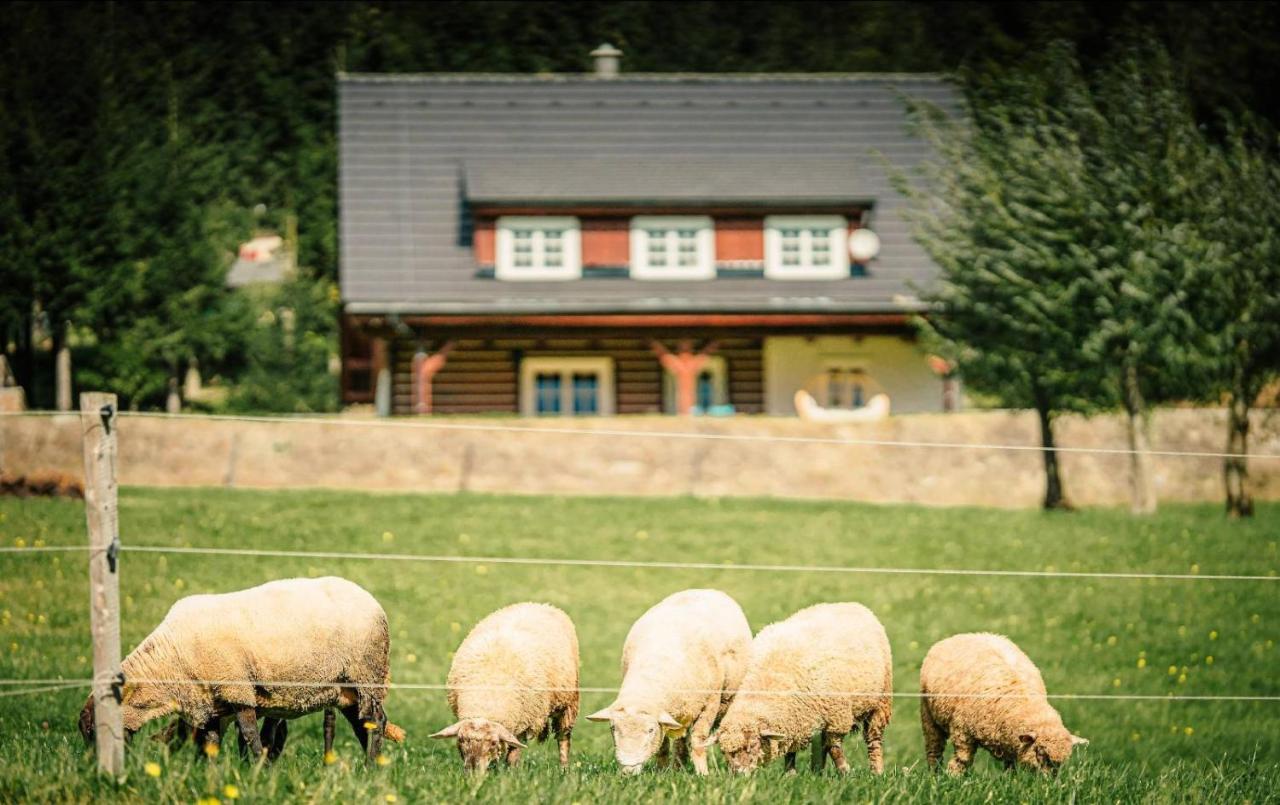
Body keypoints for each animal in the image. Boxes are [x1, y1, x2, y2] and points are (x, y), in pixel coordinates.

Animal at [76, 573, 404, 762]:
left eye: (95, 728)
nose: (93, 767)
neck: (171, 661)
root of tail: (372, 601)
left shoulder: (237, 687)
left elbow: (249, 736)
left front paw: (257, 771)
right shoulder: (212, 700)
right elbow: (210, 742)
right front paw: (211, 775)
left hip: (367, 674)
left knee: (376, 722)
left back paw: (371, 766)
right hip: (345, 689)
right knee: (363, 725)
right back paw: (368, 769)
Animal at [430, 604, 581, 773]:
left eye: (493, 743)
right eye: (461, 740)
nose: (473, 772)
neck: (486, 697)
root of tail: (538, 604)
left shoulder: (524, 721)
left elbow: (515, 750)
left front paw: (511, 771)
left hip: (568, 703)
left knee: (563, 737)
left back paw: (564, 768)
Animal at [586, 591, 752, 773]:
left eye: (650, 730)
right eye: (613, 728)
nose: (629, 768)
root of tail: (708, 590)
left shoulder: (709, 704)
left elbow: (698, 742)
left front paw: (703, 774)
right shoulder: (665, 715)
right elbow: (663, 746)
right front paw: (661, 771)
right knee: (680, 742)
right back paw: (678, 768)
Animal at [716, 598, 896, 773]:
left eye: (753, 744)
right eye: (724, 752)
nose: (739, 775)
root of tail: (852, 604)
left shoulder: (837, 718)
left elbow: (835, 748)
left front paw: (845, 771)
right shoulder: (794, 720)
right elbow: (791, 751)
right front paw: (790, 775)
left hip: (880, 702)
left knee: (873, 740)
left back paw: (876, 772)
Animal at [921, 634, 1090, 773]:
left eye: (1062, 763)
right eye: (1040, 753)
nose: (1047, 783)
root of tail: (965, 635)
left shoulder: (1012, 745)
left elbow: (1011, 768)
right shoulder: (962, 732)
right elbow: (962, 760)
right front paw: (954, 777)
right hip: (928, 716)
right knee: (934, 749)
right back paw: (934, 775)